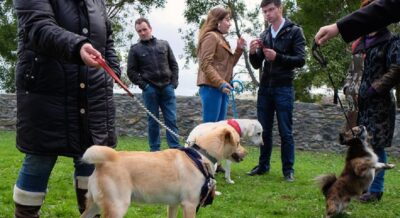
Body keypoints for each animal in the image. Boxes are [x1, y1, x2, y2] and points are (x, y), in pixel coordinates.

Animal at [81, 125, 247, 217]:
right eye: (238, 142)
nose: (246, 153)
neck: (202, 154)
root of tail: (103, 163)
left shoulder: (173, 204)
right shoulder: (190, 204)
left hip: (95, 206)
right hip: (117, 207)